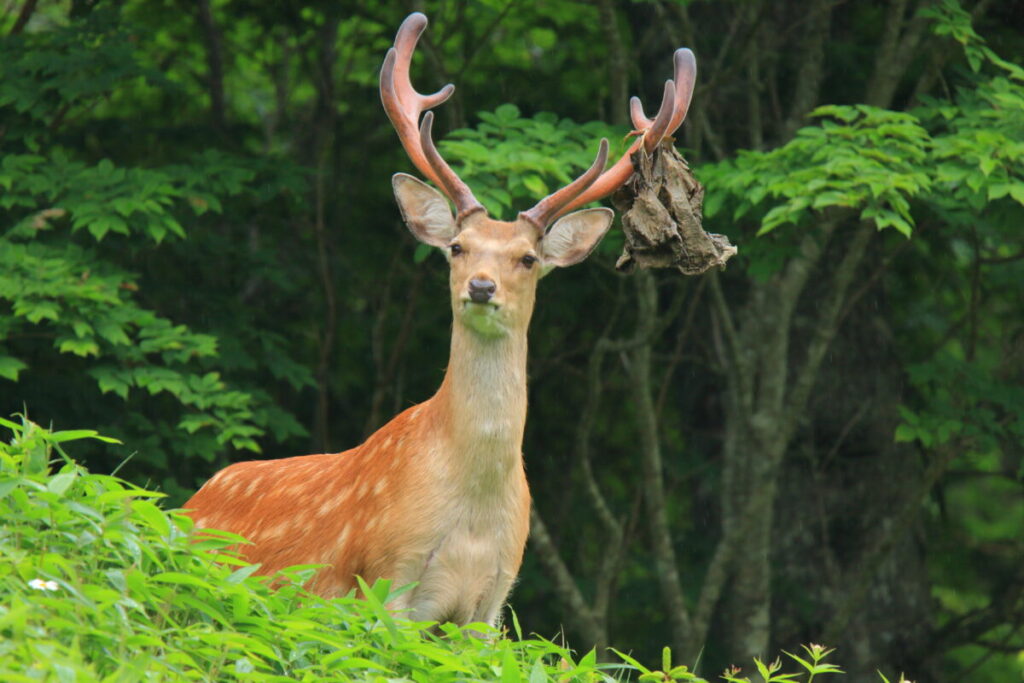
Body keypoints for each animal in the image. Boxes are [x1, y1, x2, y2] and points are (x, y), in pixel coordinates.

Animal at [184, 12, 696, 630]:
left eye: (528, 258)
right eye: (456, 247)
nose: (480, 286)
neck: (473, 514)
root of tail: (186, 503)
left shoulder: (493, 599)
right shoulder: (386, 575)